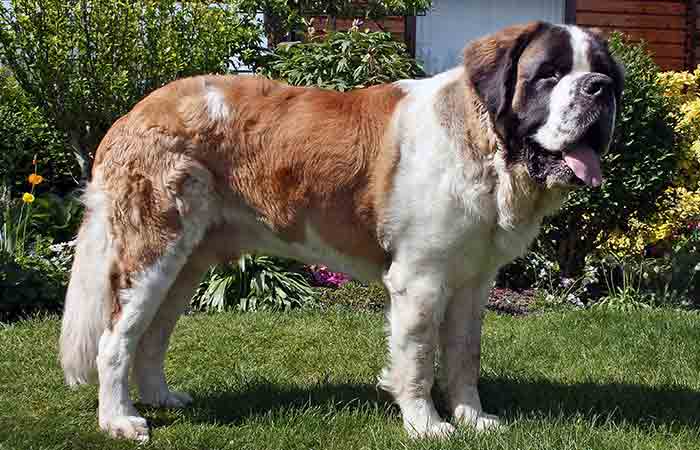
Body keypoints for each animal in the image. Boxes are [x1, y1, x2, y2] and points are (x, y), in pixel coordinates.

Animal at [60, 22, 624, 442]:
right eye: (549, 75)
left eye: (600, 71)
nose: (600, 88)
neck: (482, 142)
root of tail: (133, 113)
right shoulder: (420, 280)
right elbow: (419, 357)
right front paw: (427, 425)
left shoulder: (471, 282)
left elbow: (464, 354)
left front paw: (473, 418)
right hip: (153, 252)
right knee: (116, 338)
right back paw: (120, 419)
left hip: (187, 259)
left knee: (153, 333)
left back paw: (161, 396)